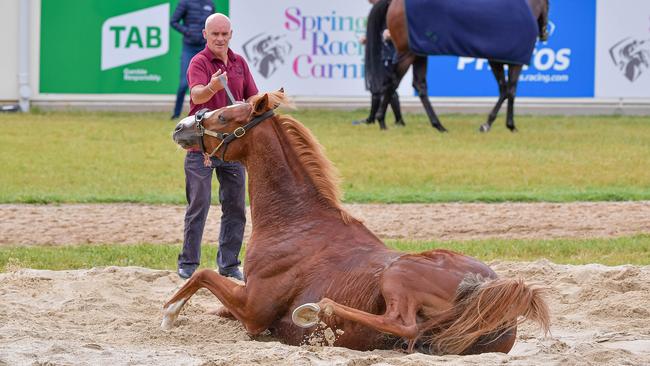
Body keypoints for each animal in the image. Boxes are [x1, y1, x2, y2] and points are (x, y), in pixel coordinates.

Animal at [162, 88, 548, 354]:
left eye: (224, 117)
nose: (181, 126)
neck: (296, 222)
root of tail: (488, 289)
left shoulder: (254, 309)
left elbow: (202, 275)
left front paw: (169, 313)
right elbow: (215, 303)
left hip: (399, 273)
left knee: (402, 324)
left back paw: (318, 310)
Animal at [374, 0, 548, 132]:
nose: (544, 34)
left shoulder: (499, 61)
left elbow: (505, 90)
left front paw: (495, 124)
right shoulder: (505, 62)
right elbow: (509, 91)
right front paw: (499, 125)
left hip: (419, 54)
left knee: (419, 85)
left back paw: (438, 125)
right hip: (408, 54)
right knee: (393, 82)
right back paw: (381, 121)